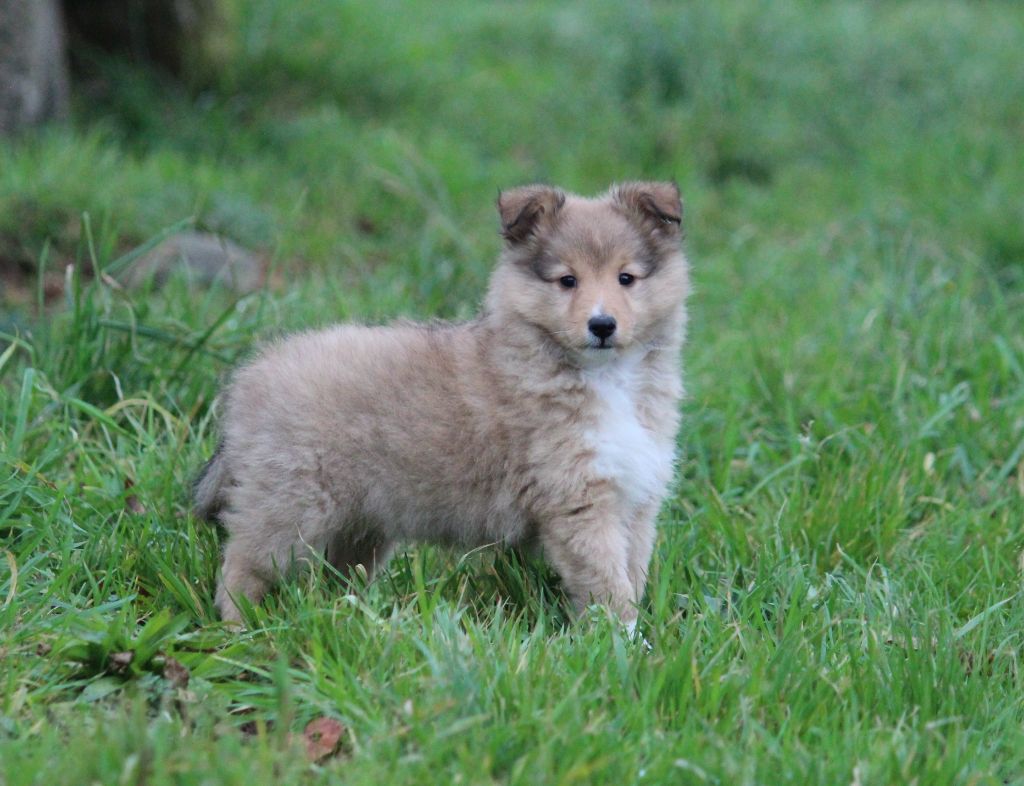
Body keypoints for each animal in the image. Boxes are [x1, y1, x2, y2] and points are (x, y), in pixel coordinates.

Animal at [193, 182, 688, 626]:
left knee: (341, 571)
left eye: (626, 278)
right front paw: (625, 644)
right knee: (242, 566)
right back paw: (240, 630)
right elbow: (609, 586)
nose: (602, 325)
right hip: (290, 506)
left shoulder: (635, 500)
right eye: (567, 280)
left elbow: (631, 575)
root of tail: (251, 376)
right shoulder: (579, 503)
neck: (607, 378)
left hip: (360, 522)